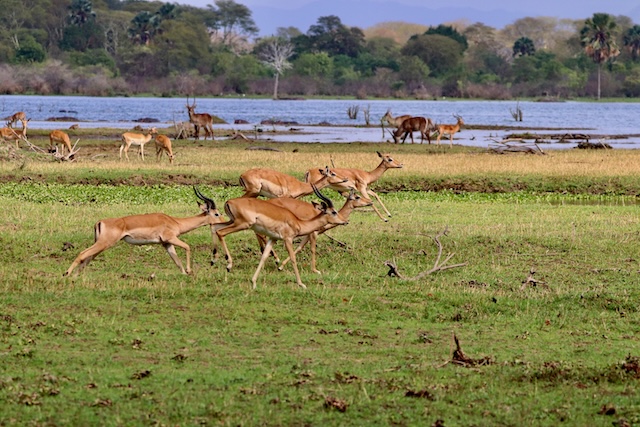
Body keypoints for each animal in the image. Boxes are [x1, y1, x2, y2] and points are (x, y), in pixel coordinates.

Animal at [63, 187, 224, 276]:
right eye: (216, 213)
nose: (224, 222)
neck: (175, 222)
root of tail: (100, 222)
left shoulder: (166, 243)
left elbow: (176, 260)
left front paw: (185, 273)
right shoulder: (171, 238)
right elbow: (187, 247)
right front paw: (189, 271)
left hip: (101, 245)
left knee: (88, 258)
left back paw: (76, 276)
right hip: (104, 243)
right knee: (82, 254)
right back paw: (66, 274)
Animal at [212, 185, 349, 289]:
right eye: (333, 212)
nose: (345, 221)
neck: (298, 222)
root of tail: (229, 202)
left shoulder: (273, 239)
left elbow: (264, 257)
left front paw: (254, 282)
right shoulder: (287, 239)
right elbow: (293, 258)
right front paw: (301, 284)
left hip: (232, 221)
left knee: (215, 227)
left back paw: (214, 260)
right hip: (242, 224)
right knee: (221, 233)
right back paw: (228, 265)